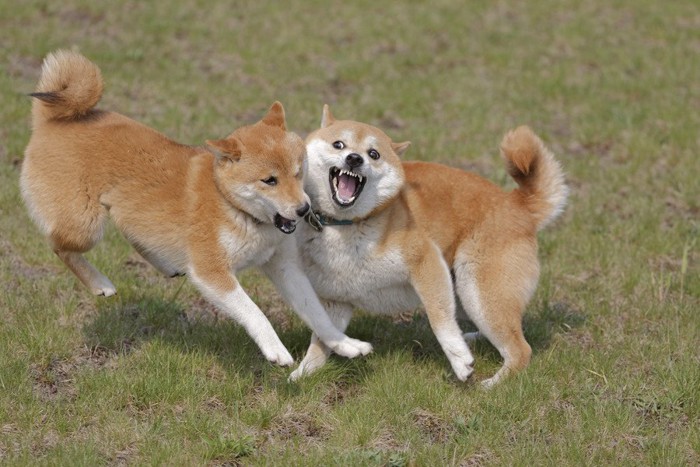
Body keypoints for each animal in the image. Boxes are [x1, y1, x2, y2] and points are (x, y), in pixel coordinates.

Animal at [20, 51, 372, 366]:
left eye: (299, 172)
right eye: (269, 180)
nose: (302, 209)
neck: (236, 209)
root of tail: (50, 121)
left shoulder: (284, 267)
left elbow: (317, 313)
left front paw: (344, 344)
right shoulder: (213, 273)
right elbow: (254, 313)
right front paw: (276, 350)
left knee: (132, 231)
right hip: (86, 226)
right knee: (58, 246)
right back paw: (99, 283)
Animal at [290, 106, 568, 388]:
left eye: (374, 154)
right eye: (339, 144)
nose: (354, 159)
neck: (347, 225)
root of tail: (518, 205)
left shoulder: (426, 261)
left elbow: (440, 320)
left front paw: (460, 361)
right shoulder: (336, 300)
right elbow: (323, 338)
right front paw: (302, 374)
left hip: (477, 290)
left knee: (520, 349)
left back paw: (492, 383)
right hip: (466, 293)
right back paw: (473, 339)